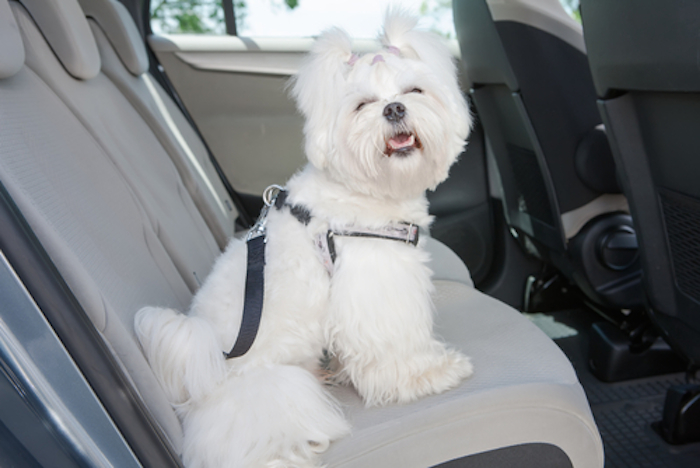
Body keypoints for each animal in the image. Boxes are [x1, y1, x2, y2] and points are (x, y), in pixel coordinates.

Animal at [134, 10, 474, 468]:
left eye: (413, 91)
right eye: (362, 105)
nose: (394, 108)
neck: (362, 190)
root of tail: (202, 382)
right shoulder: (376, 286)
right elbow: (395, 345)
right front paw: (430, 374)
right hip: (272, 390)